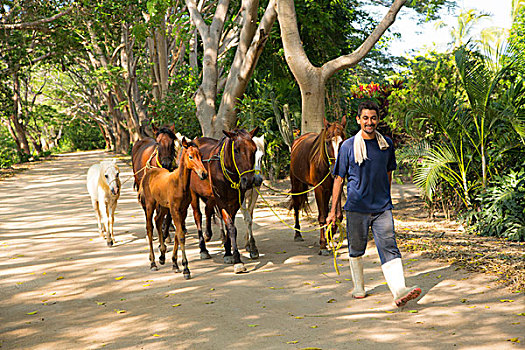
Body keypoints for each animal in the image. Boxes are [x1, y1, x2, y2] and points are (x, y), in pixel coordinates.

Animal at [138, 138, 208, 278]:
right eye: (190, 156)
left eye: (201, 155)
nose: (203, 174)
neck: (179, 184)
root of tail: (148, 173)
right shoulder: (175, 210)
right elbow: (180, 235)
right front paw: (186, 268)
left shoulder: (182, 210)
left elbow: (177, 234)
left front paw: (175, 264)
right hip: (150, 205)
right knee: (149, 228)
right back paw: (153, 262)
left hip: (164, 206)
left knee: (158, 220)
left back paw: (162, 255)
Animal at [189, 129, 260, 274]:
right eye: (236, 150)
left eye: (254, 149)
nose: (249, 180)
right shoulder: (221, 201)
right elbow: (231, 227)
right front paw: (237, 260)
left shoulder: (235, 202)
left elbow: (230, 225)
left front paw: (228, 253)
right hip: (194, 193)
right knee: (198, 215)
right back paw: (203, 249)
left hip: (210, 196)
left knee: (208, 210)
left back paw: (208, 234)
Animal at [288, 116, 346, 256]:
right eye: (327, 142)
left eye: (342, 142)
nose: (336, 168)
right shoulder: (319, 189)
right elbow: (322, 217)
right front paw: (323, 245)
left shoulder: (335, 187)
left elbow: (337, 216)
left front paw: (330, 234)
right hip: (296, 184)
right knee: (296, 207)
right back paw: (297, 234)